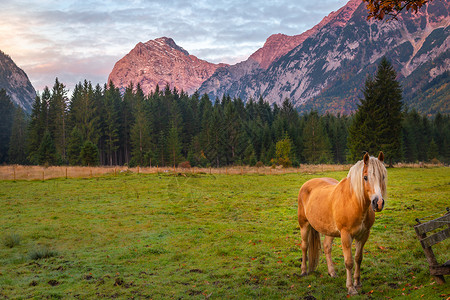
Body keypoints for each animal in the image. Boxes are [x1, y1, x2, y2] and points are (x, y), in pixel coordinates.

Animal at [298, 152, 386, 296]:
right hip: (304, 224)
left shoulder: (363, 235)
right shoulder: (346, 235)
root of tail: (307, 184)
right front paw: (350, 287)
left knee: (327, 247)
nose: (377, 203)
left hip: (329, 230)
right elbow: (349, 262)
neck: (354, 202)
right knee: (305, 246)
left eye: (383, 176)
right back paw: (304, 271)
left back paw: (332, 273)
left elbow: (358, 258)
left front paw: (358, 283)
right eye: (365, 177)